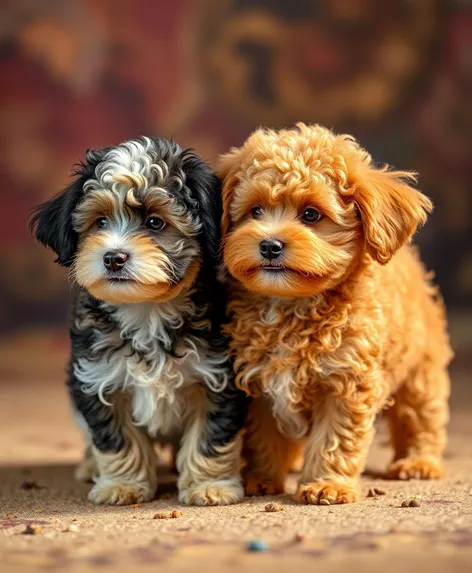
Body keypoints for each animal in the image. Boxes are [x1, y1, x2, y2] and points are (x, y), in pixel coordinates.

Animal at [30, 139, 247, 504]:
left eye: (156, 223)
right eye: (100, 222)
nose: (113, 257)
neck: (147, 311)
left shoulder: (217, 377)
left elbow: (210, 436)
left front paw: (210, 486)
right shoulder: (98, 378)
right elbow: (116, 438)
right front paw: (122, 485)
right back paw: (90, 467)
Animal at [218, 123, 454, 502]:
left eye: (311, 214)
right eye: (255, 212)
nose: (269, 245)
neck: (290, 307)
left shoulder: (346, 382)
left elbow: (335, 438)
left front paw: (326, 484)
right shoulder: (259, 383)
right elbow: (265, 437)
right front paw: (262, 479)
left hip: (421, 369)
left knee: (421, 417)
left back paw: (419, 462)